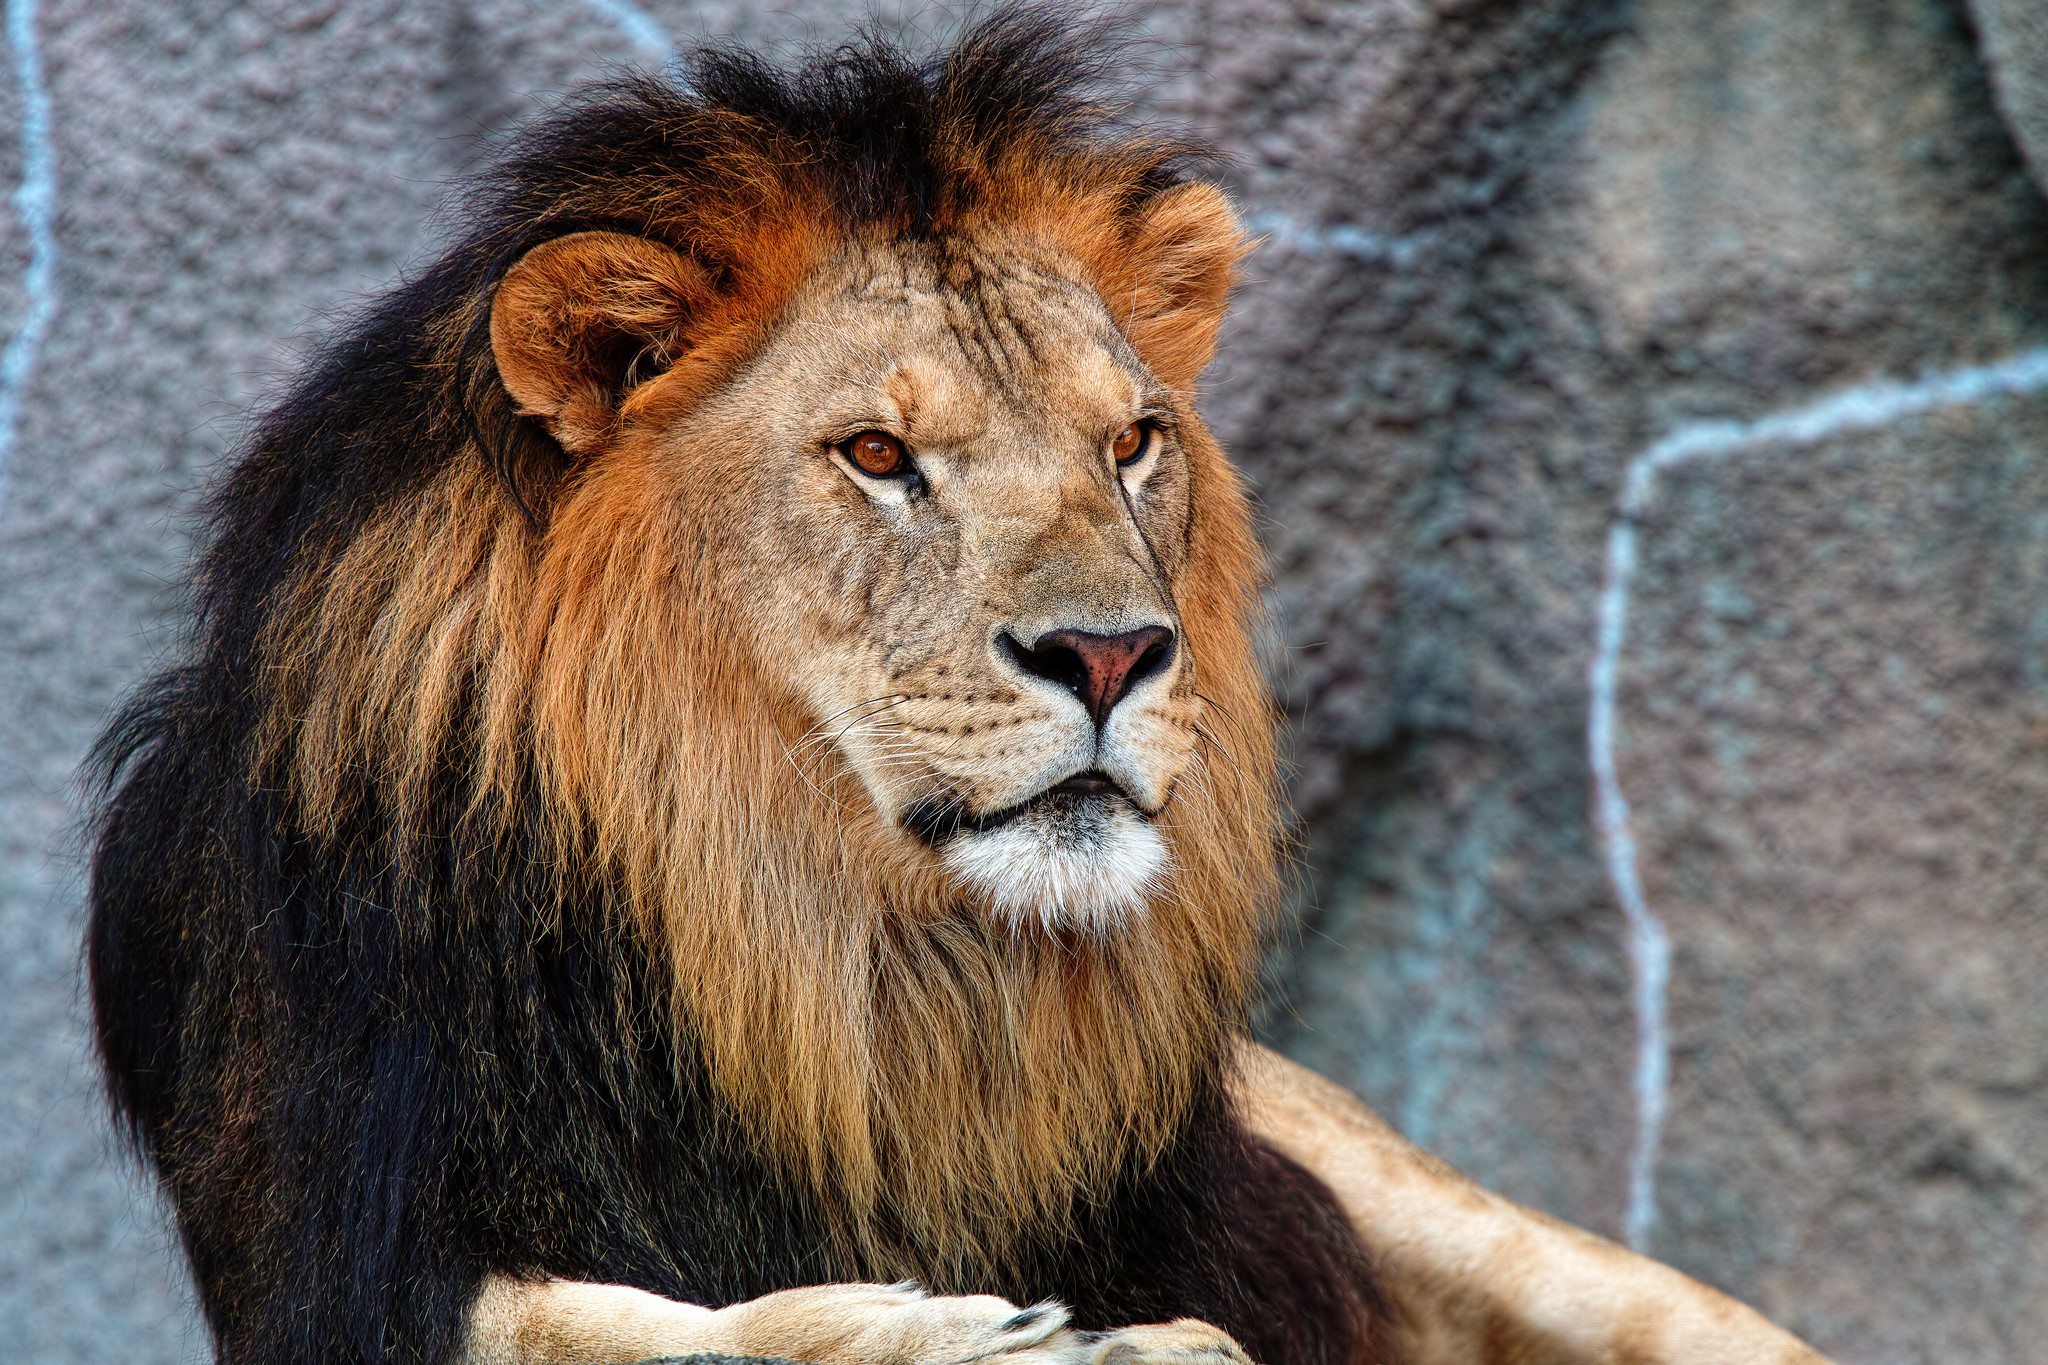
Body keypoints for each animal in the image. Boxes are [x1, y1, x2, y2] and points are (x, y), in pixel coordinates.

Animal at [85, 12, 1829, 1365]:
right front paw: (988, 1334)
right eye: (877, 454)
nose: (1113, 653)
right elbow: (581, 1323)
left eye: (1131, 442)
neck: (838, 970)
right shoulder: (337, 1247)